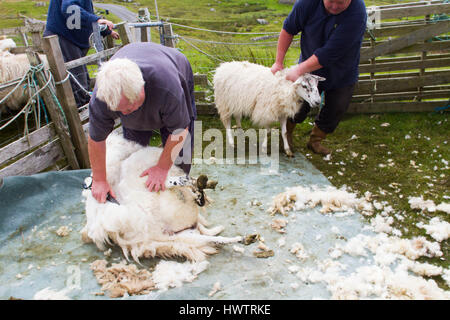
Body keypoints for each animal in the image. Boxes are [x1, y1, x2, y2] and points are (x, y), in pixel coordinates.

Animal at [81, 132, 243, 262]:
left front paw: (201, 189)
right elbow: (175, 181)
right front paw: (198, 186)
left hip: (179, 234)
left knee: (207, 234)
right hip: (172, 234)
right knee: (206, 235)